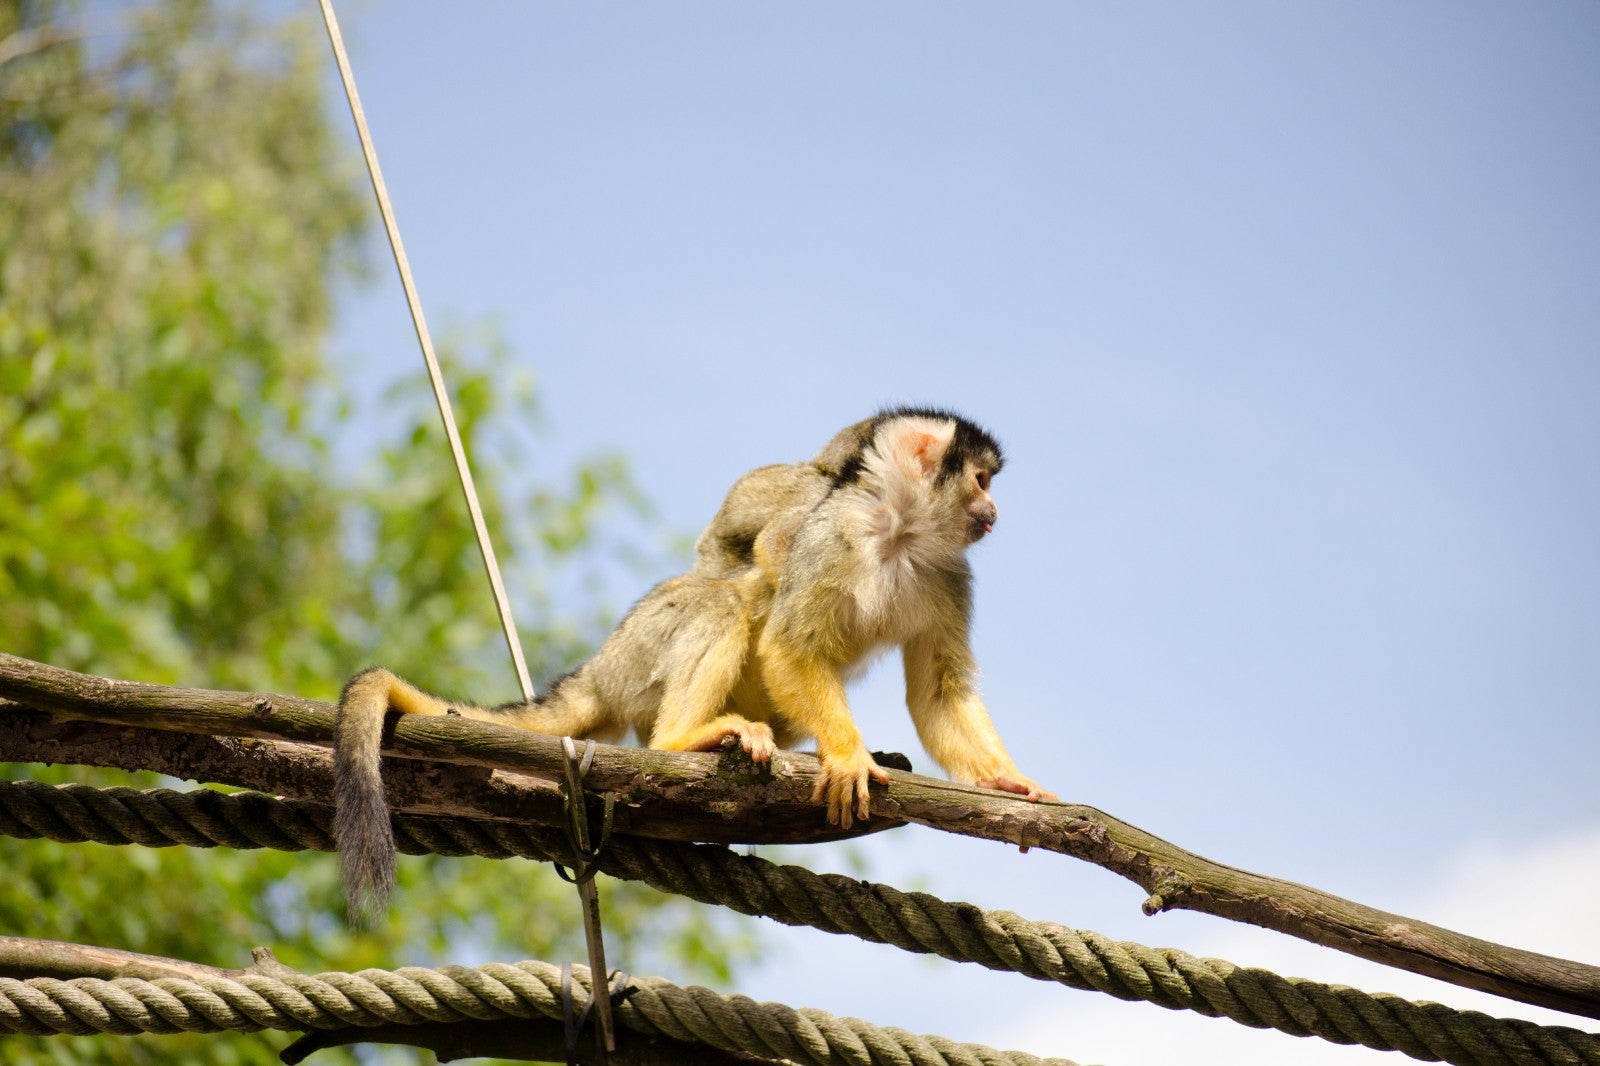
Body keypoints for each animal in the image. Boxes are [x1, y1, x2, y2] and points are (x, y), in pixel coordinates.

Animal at [334, 406, 1049, 915]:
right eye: (980, 480)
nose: (993, 510)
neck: (898, 532)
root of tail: (599, 671)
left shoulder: (948, 572)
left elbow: (938, 690)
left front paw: (1008, 783)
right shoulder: (829, 532)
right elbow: (787, 636)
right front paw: (848, 756)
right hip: (639, 651)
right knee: (721, 602)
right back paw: (682, 739)